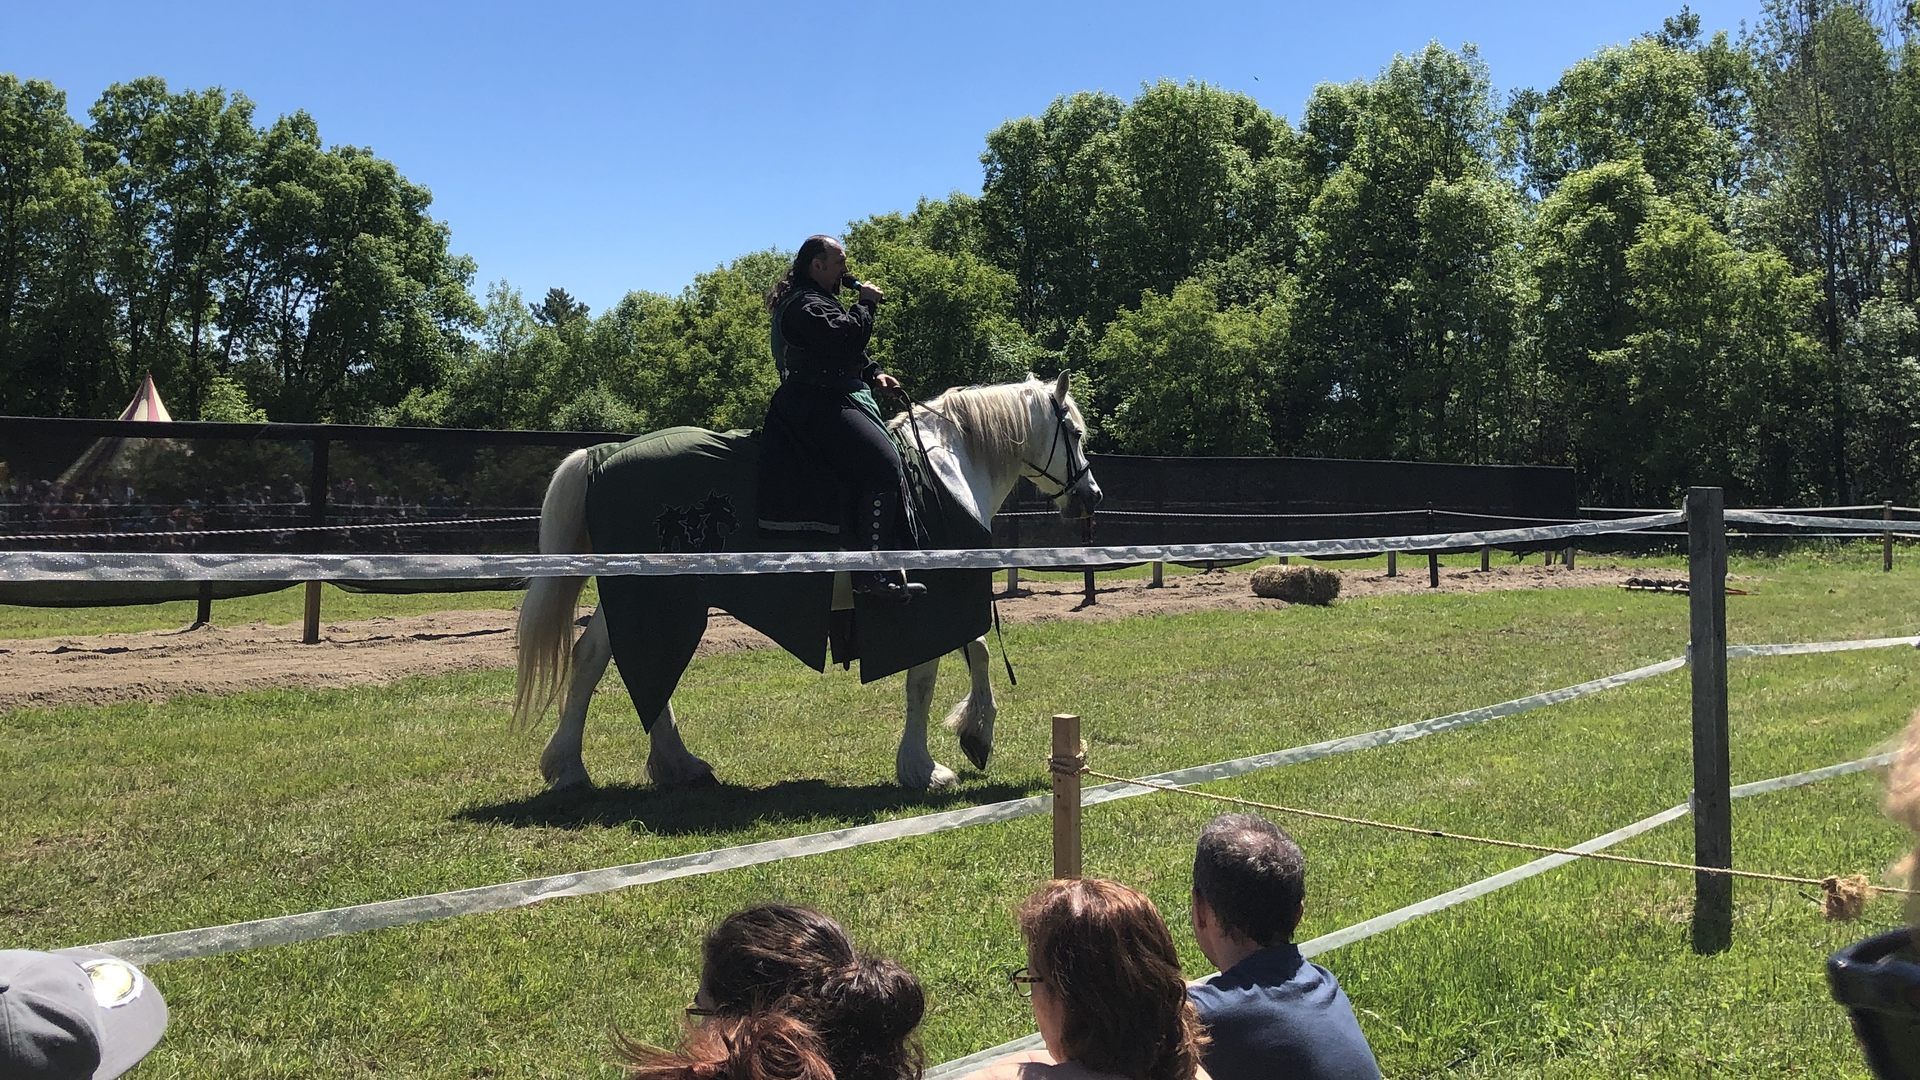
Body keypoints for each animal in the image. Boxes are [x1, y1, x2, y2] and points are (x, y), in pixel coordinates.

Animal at [518, 374, 1105, 787]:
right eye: (1075, 433)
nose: (1091, 496)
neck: (946, 474)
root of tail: (600, 455)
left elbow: (977, 652)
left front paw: (974, 736)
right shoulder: (926, 604)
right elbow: (926, 678)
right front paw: (925, 766)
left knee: (608, 658)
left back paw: (665, 764)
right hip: (659, 595)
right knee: (620, 661)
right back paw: (576, 766)